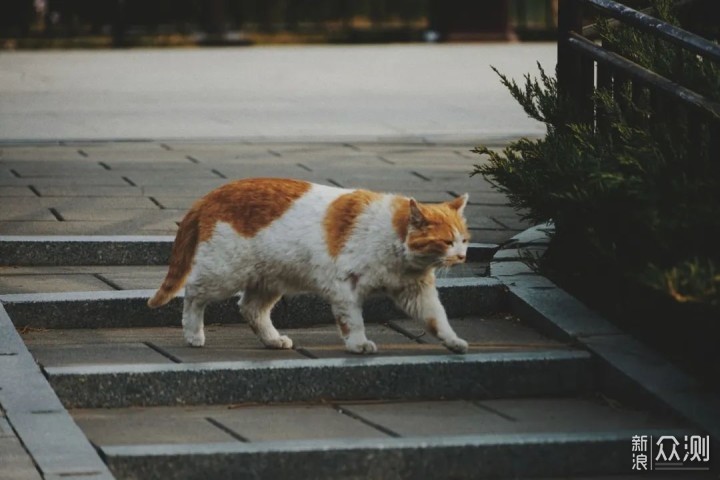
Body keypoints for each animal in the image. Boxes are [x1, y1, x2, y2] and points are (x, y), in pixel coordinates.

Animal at [148, 178, 472, 354]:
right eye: (446, 242)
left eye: (465, 240)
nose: (462, 256)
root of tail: (210, 195)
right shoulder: (345, 287)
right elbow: (353, 321)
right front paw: (358, 344)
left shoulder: (415, 291)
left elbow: (436, 318)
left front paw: (454, 341)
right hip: (224, 273)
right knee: (193, 294)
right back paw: (193, 334)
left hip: (269, 278)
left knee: (250, 308)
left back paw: (273, 339)